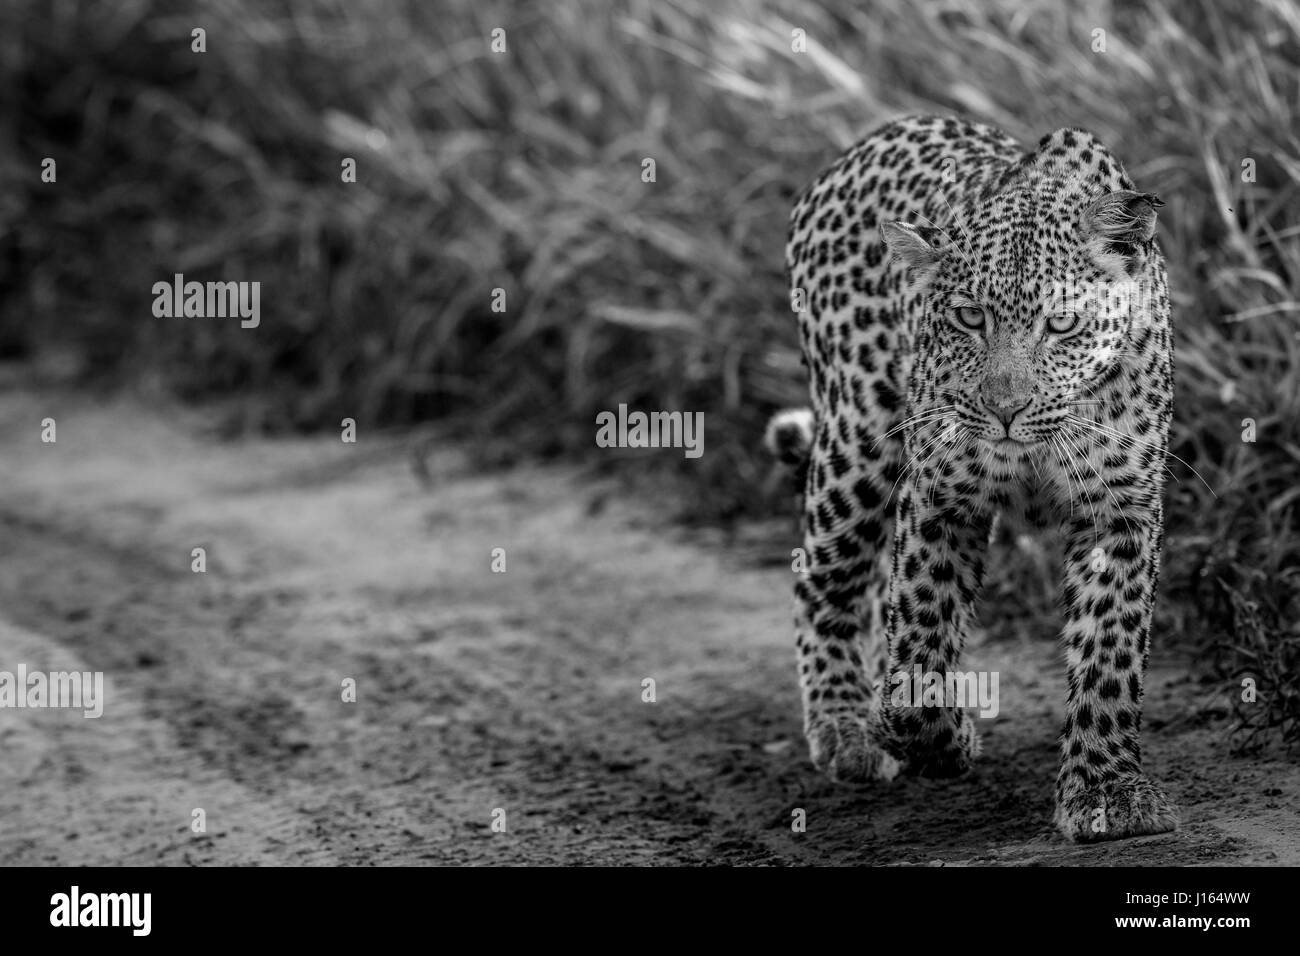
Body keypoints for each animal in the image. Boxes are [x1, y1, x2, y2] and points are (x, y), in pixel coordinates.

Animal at [764, 113, 1185, 842]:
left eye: (1061, 323)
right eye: (968, 317)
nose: (1004, 409)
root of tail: (862, 145)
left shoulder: (1119, 510)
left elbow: (1110, 651)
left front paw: (1106, 790)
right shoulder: (938, 497)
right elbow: (919, 635)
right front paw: (938, 741)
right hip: (857, 440)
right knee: (825, 579)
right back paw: (847, 730)